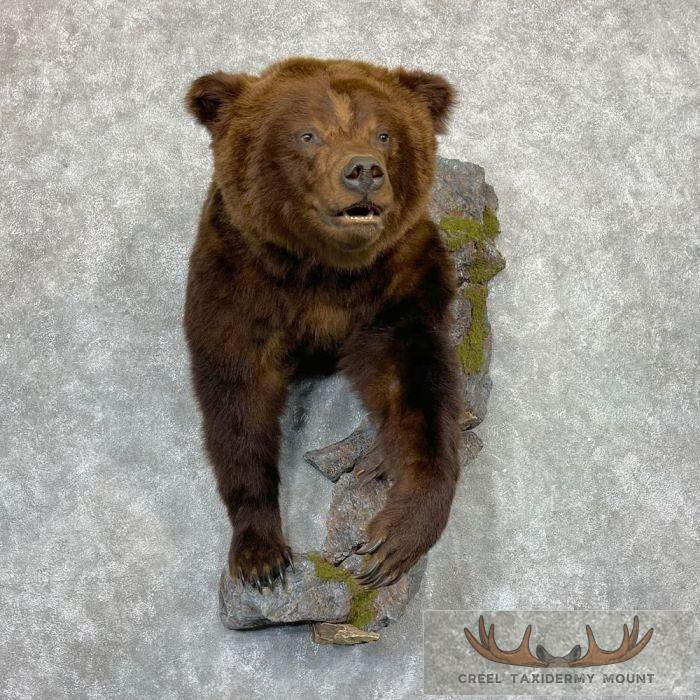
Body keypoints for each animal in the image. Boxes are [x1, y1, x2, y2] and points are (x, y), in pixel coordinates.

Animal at [184, 57, 462, 591]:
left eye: (383, 133)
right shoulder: (240, 283)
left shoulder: (397, 282)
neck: (323, 270)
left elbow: (415, 387)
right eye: (308, 134)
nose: (363, 171)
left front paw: (393, 539)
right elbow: (238, 399)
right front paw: (261, 553)